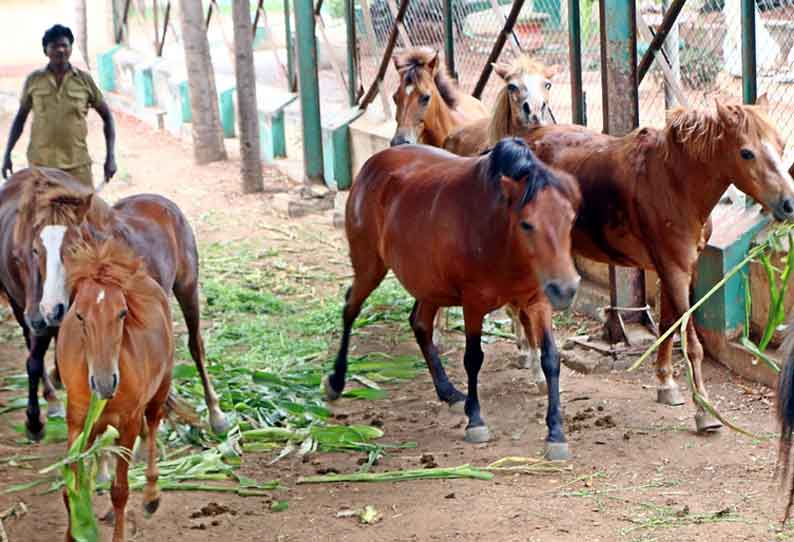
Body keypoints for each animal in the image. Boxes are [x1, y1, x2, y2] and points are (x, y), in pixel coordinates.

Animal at [11, 168, 229, 440]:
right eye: (35, 250)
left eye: (73, 247)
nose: (51, 310)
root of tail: (161, 202)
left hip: (187, 287)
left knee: (195, 345)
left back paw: (216, 416)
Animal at [59, 234, 172, 542]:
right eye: (79, 316)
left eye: (122, 313)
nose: (104, 382)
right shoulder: (77, 423)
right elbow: (71, 489)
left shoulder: (128, 424)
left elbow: (120, 491)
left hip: (161, 388)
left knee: (153, 426)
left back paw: (151, 495)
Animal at [324, 139, 580, 460]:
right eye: (526, 224)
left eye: (570, 219)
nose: (566, 288)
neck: (496, 231)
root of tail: (373, 164)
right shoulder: (473, 303)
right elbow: (473, 358)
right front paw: (476, 420)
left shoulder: (538, 301)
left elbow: (550, 359)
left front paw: (556, 432)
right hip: (370, 265)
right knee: (351, 308)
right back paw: (336, 381)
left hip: (428, 284)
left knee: (420, 324)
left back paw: (449, 393)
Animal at [520, 101, 792, 434]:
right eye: (746, 153)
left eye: (781, 145)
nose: (789, 203)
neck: (674, 183)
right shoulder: (675, 269)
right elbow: (691, 342)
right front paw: (704, 411)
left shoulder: (679, 268)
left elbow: (668, 325)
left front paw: (666, 384)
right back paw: (535, 369)